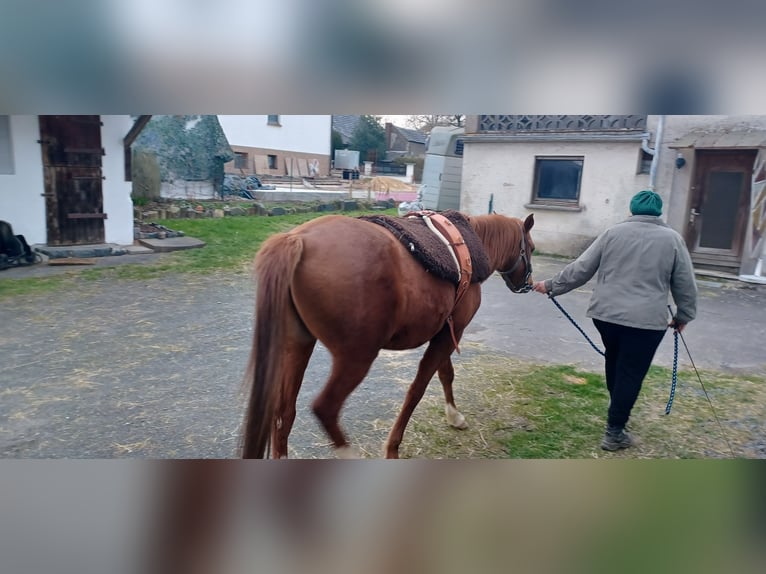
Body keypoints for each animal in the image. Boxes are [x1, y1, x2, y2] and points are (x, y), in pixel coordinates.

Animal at [243, 212, 536, 460]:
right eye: (531, 248)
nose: (528, 285)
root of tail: (298, 239)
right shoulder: (451, 334)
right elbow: (417, 390)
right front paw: (393, 447)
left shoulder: (445, 331)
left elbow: (445, 374)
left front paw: (454, 416)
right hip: (356, 358)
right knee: (325, 408)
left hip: (297, 346)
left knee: (283, 412)